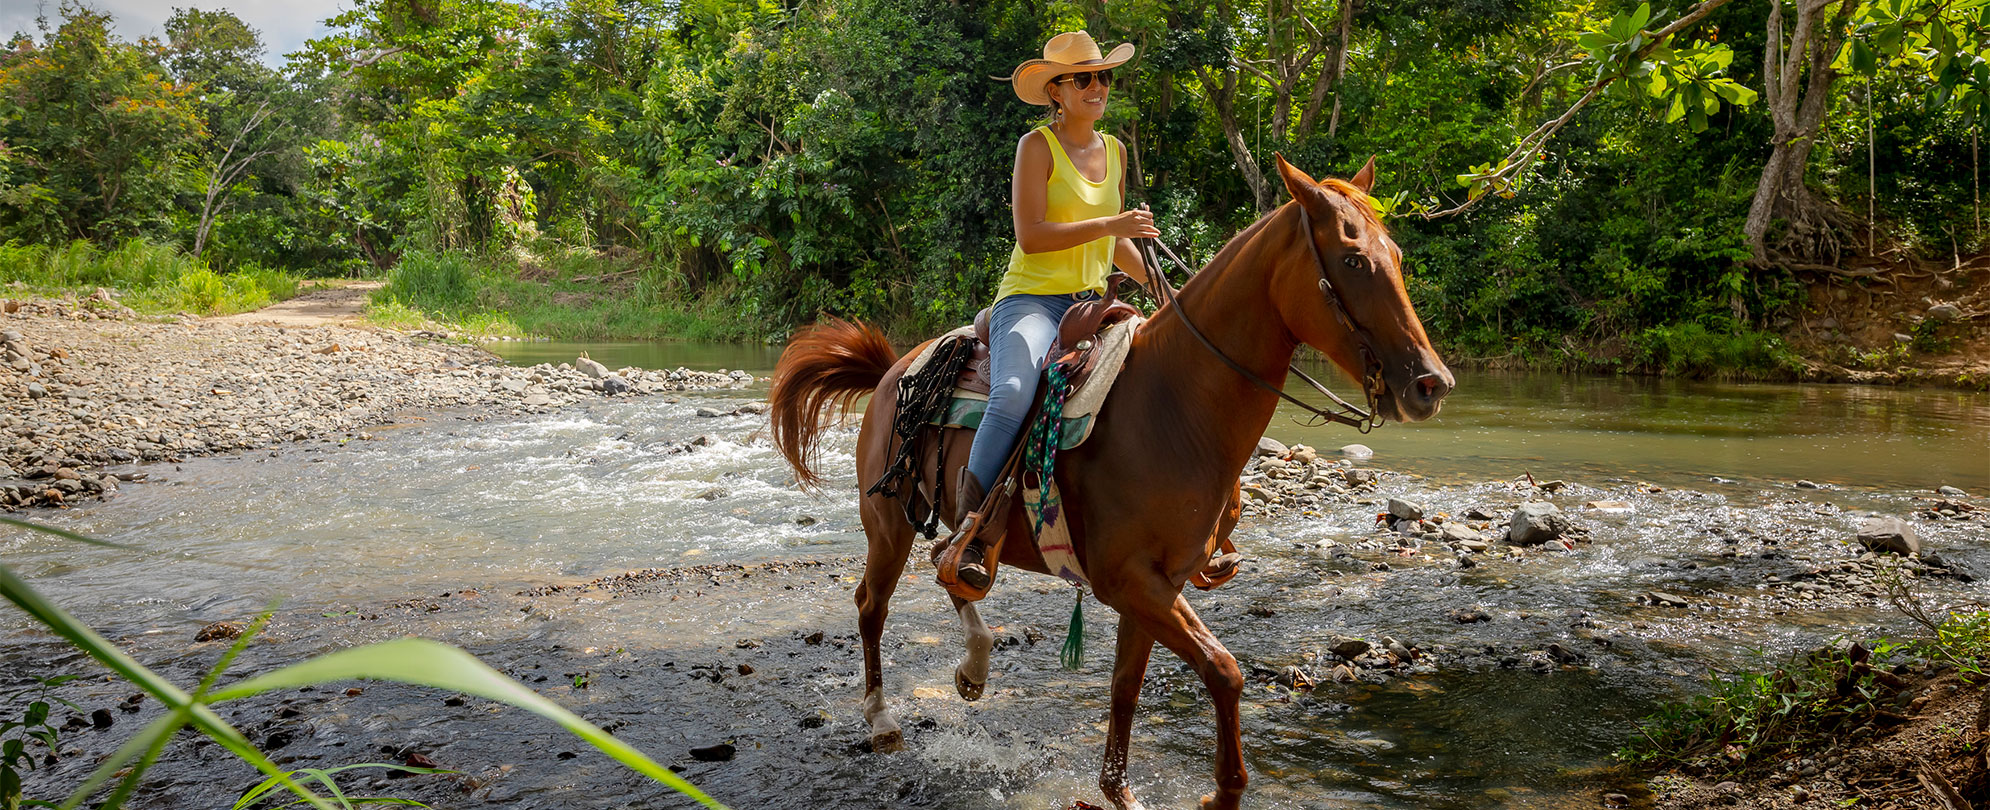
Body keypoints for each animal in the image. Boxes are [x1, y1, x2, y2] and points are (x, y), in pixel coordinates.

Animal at [768, 155, 1456, 808]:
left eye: (1396, 256)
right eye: (1353, 259)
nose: (1432, 384)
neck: (1174, 405)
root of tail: (895, 369)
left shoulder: (1156, 584)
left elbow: (1128, 687)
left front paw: (1118, 791)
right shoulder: (1127, 581)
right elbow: (1224, 669)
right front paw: (1221, 792)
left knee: (952, 564)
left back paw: (975, 665)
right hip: (887, 524)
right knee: (873, 605)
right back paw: (883, 720)